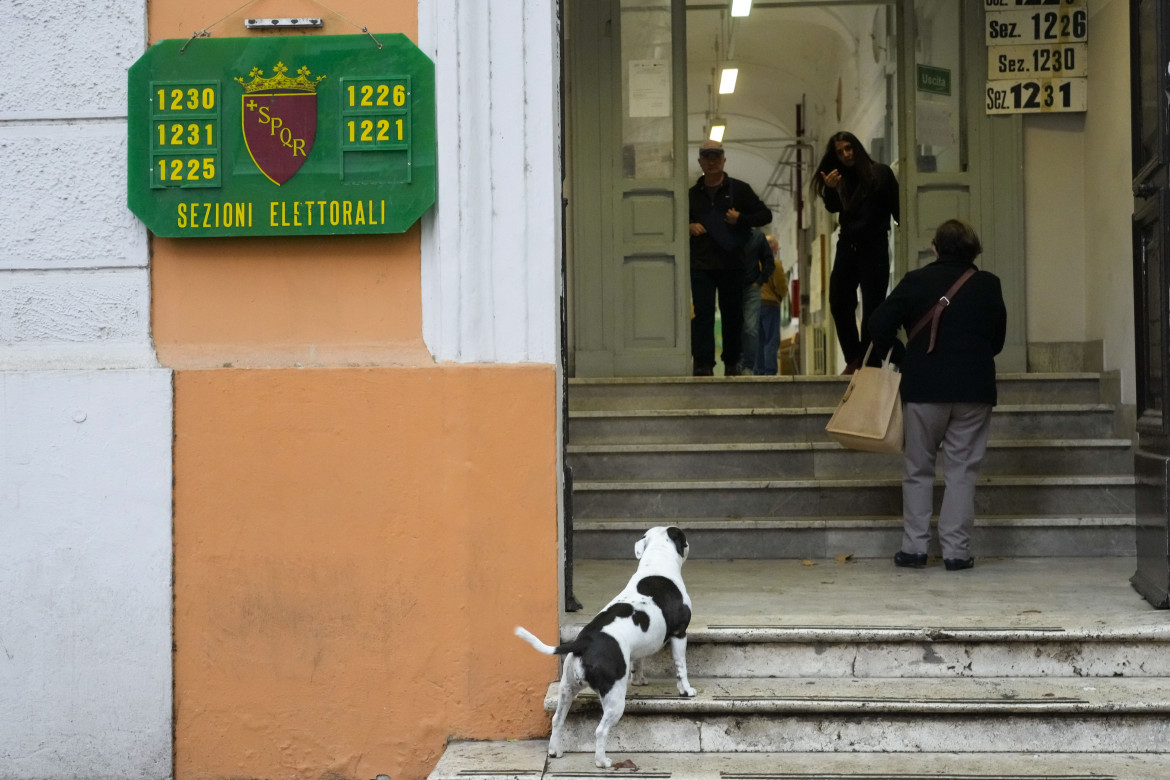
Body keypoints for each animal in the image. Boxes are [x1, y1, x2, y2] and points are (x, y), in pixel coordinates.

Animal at [514, 523, 692, 767]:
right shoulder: (680, 634)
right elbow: (681, 666)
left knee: (557, 720)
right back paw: (602, 761)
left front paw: (640, 680)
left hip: (567, 689)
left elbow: (639, 661)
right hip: (614, 698)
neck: (657, 561)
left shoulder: (640, 647)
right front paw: (686, 690)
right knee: (600, 730)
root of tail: (583, 643)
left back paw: (555, 751)